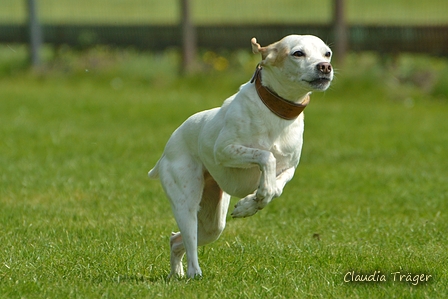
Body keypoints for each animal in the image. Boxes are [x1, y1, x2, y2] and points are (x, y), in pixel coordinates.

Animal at [150, 33, 332, 278]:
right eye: (298, 53)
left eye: (327, 53)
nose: (325, 67)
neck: (276, 114)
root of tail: (166, 151)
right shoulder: (225, 150)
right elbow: (266, 157)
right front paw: (258, 195)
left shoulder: (290, 167)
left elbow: (276, 187)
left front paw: (251, 203)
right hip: (186, 203)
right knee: (189, 243)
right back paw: (193, 273)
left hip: (213, 224)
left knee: (175, 240)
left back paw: (176, 273)